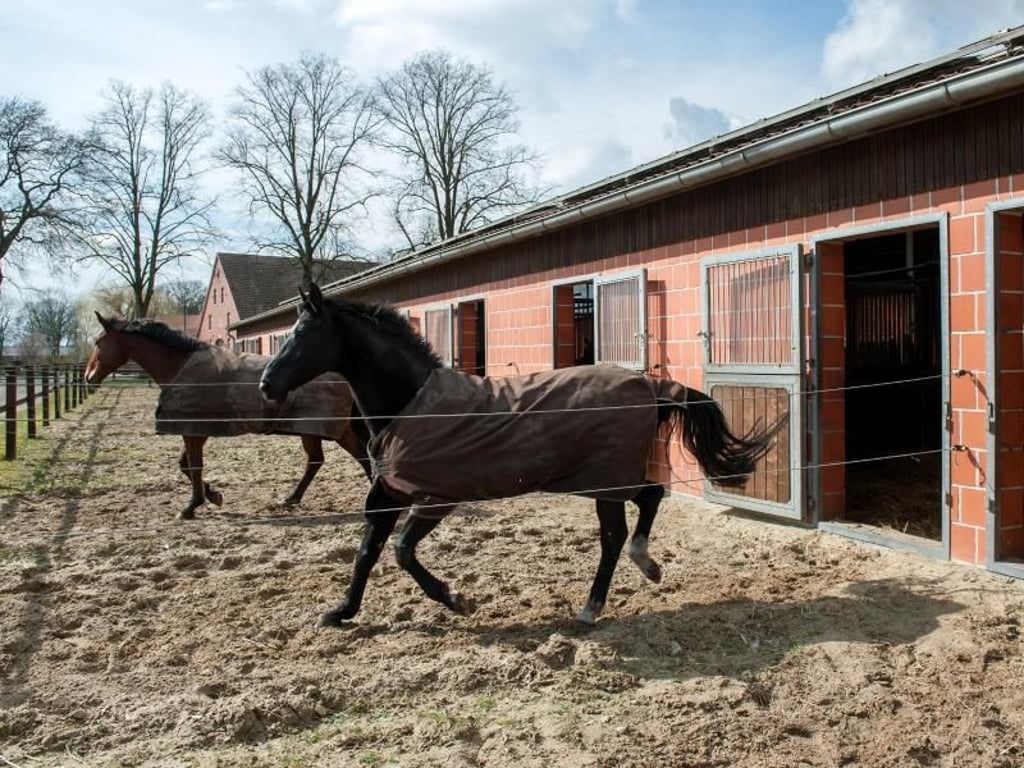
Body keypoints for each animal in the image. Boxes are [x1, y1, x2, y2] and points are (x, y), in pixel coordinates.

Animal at [85, 312, 371, 520]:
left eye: (98, 343)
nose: (88, 377)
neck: (180, 366)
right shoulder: (194, 431)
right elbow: (185, 465)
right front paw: (212, 496)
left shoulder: (193, 431)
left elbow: (193, 466)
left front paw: (191, 507)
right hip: (318, 429)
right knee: (324, 460)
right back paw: (291, 499)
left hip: (327, 428)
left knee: (352, 457)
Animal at [258, 283, 774, 627]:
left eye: (302, 333)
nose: (266, 384)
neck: (410, 402)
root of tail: (650, 386)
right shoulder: (390, 492)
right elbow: (367, 552)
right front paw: (341, 612)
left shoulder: (435, 497)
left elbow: (403, 551)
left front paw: (455, 598)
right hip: (606, 477)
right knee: (647, 499)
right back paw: (643, 569)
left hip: (604, 480)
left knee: (617, 532)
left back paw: (594, 605)